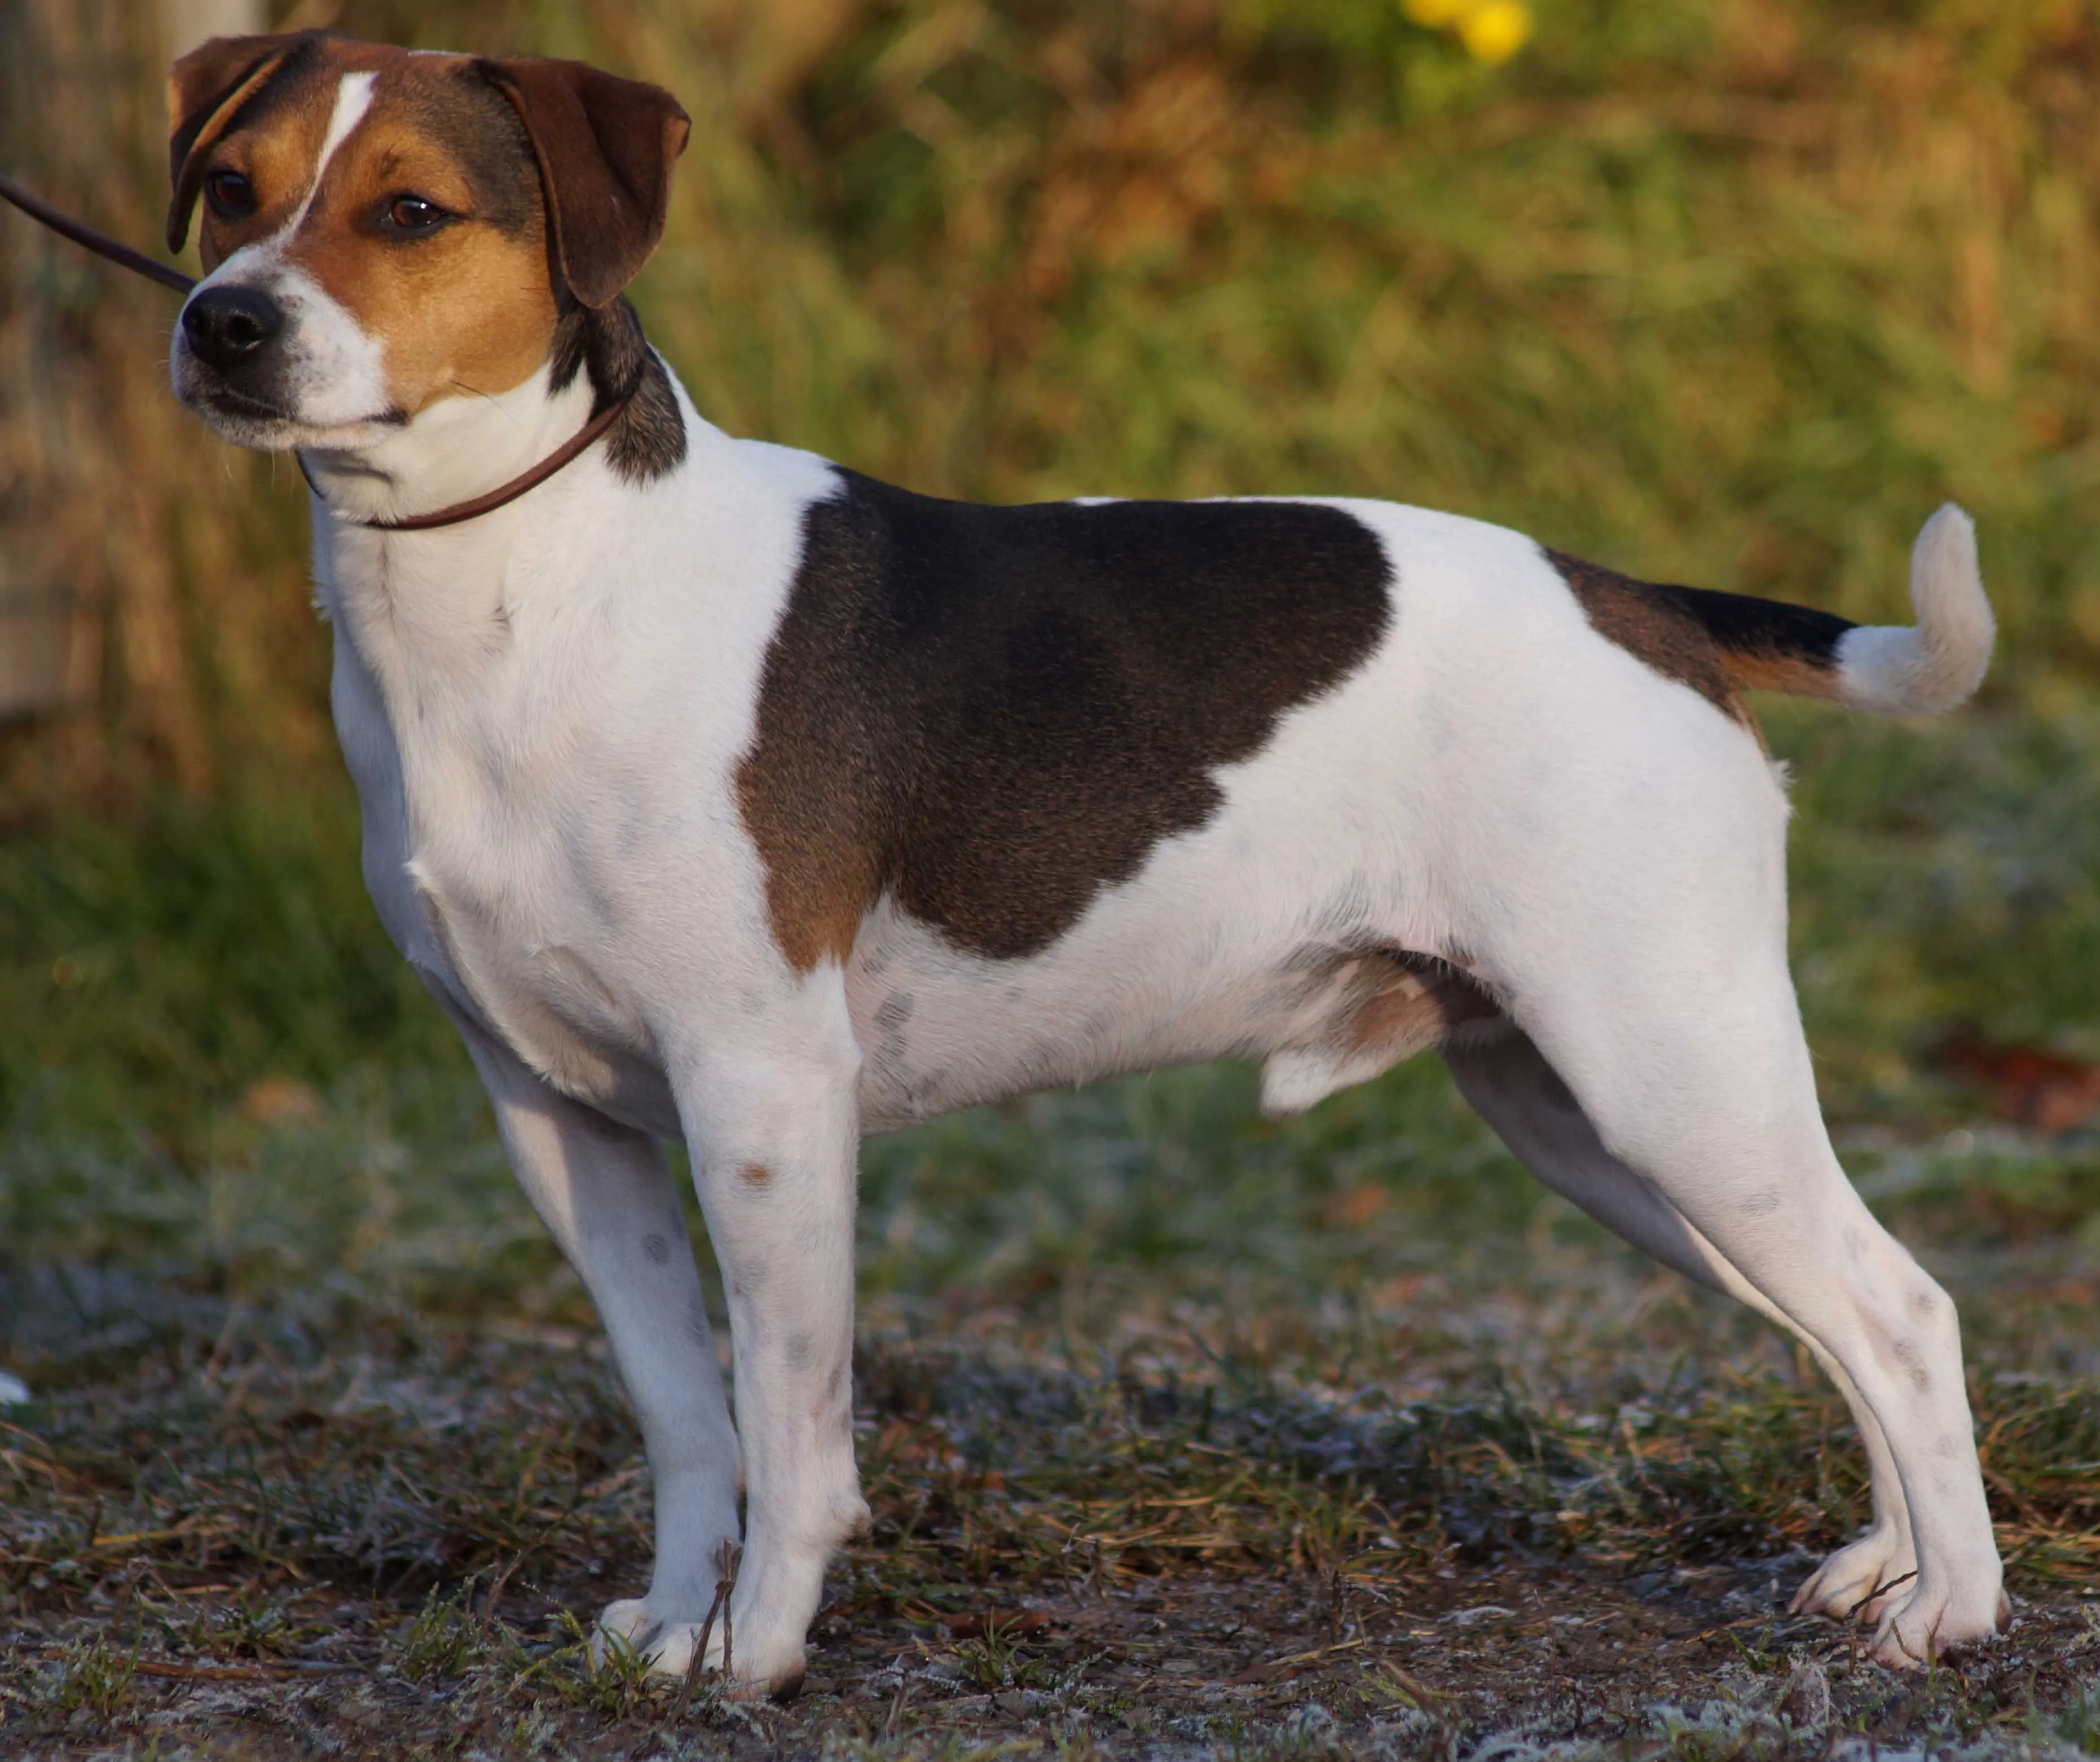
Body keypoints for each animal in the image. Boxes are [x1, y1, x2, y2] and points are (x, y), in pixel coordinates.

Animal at [164, 34, 1999, 1705]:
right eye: (230, 190)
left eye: (410, 209)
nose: (223, 323)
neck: (532, 581)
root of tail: (1644, 605)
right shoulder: (566, 1123)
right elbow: (685, 1418)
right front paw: (676, 1627)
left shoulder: (761, 1094)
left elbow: (787, 1422)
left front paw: (759, 1652)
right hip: (1597, 1119)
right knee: (1828, 1316)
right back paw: (1881, 1561)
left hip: (1668, 1075)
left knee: (1902, 1310)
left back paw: (1950, 1613)